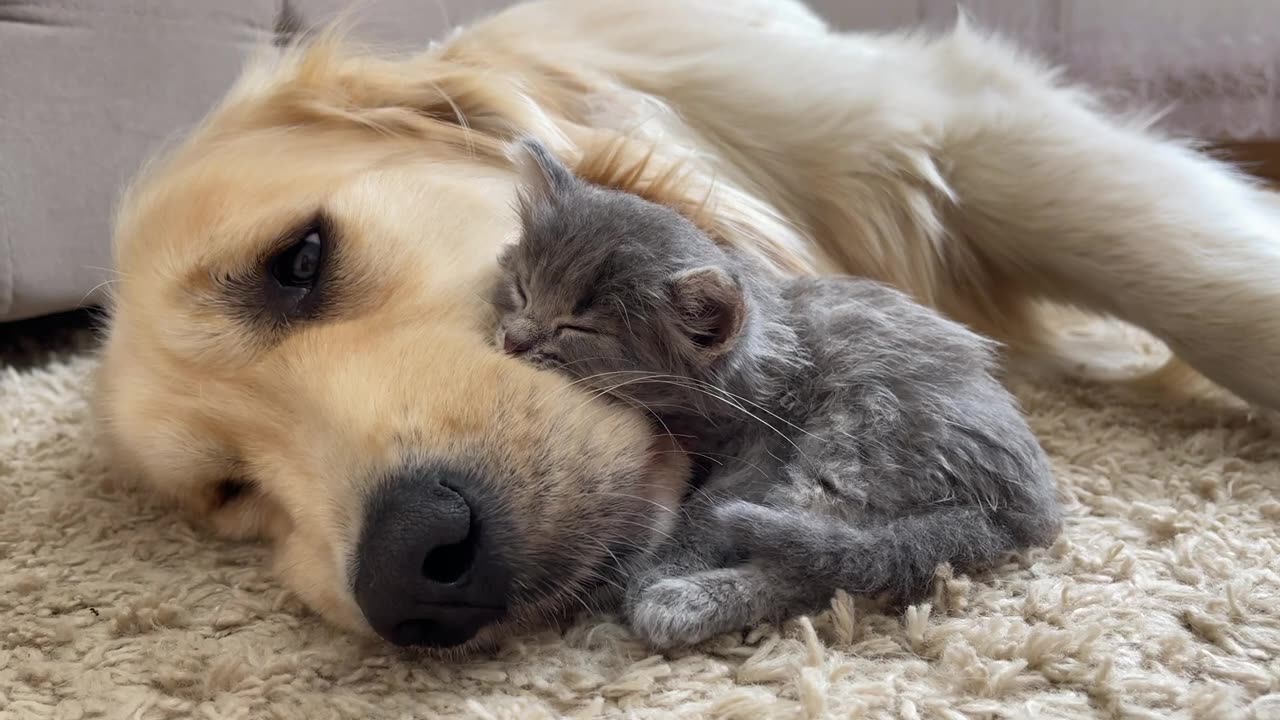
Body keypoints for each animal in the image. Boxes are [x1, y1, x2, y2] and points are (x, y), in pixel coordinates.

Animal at [488, 139, 1059, 645]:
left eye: (578, 328)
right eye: (522, 290)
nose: (513, 340)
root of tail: (1028, 504)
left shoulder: (766, 443)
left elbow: (707, 511)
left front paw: (661, 565)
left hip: (857, 429)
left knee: (817, 569)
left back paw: (680, 603)